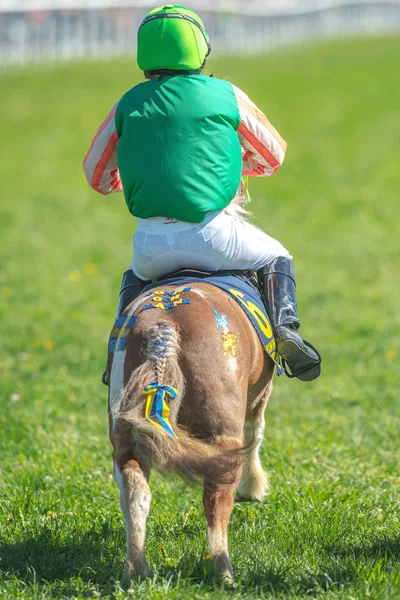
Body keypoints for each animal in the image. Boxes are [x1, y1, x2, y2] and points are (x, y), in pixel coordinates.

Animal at [108, 278, 274, 580]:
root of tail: (163, 325)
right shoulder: (259, 393)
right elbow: (256, 430)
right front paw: (253, 488)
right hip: (223, 435)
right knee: (217, 497)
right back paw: (223, 570)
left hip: (125, 436)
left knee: (134, 489)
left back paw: (136, 569)